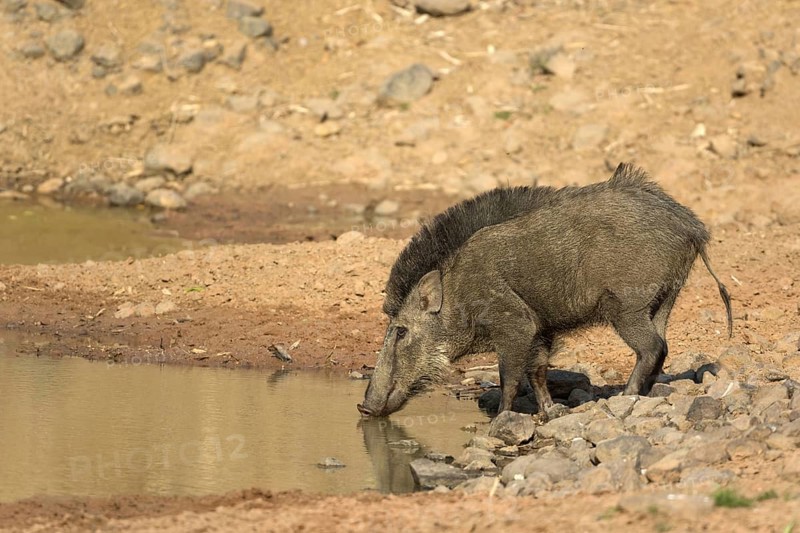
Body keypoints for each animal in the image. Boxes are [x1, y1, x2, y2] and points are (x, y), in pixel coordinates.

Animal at [357, 163, 732, 417]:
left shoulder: (515, 324)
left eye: (401, 331)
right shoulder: (542, 330)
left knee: (652, 347)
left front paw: (500, 419)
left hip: (627, 306)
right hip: (665, 298)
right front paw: (549, 412)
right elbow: (537, 372)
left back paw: (625, 396)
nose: (363, 407)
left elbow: (509, 375)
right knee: (663, 345)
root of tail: (693, 227)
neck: (458, 292)